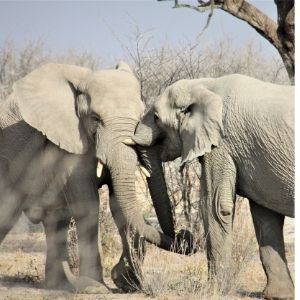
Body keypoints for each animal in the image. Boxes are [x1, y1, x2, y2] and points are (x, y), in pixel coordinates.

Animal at [0, 61, 192, 292]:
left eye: (139, 119)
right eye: (96, 119)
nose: (186, 236)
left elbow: (119, 205)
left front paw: (128, 282)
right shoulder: (69, 143)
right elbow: (88, 205)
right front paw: (97, 287)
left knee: (55, 219)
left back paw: (61, 285)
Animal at [128, 73, 292, 300]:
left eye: (156, 118)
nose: (185, 236)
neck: (205, 84)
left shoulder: (222, 142)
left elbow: (214, 207)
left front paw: (213, 291)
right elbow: (265, 216)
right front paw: (278, 296)